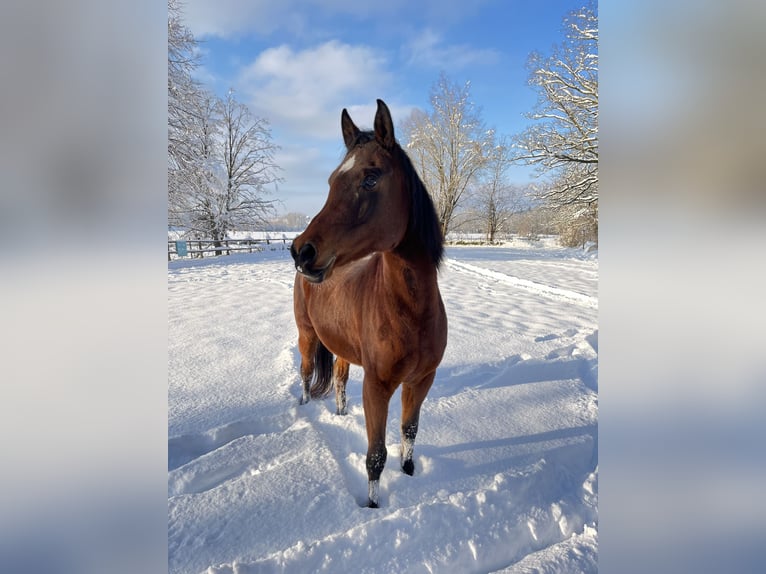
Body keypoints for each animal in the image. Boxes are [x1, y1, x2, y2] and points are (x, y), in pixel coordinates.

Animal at [290, 99, 448, 508]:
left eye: (370, 178)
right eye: (332, 181)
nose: (301, 251)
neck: (411, 313)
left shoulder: (421, 380)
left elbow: (409, 430)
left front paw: (409, 473)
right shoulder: (377, 388)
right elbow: (375, 454)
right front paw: (374, 506)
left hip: (341, 347)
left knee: (340, 379)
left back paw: (341, 411)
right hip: (306, 335)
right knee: (306, 371)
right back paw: (305, 405)